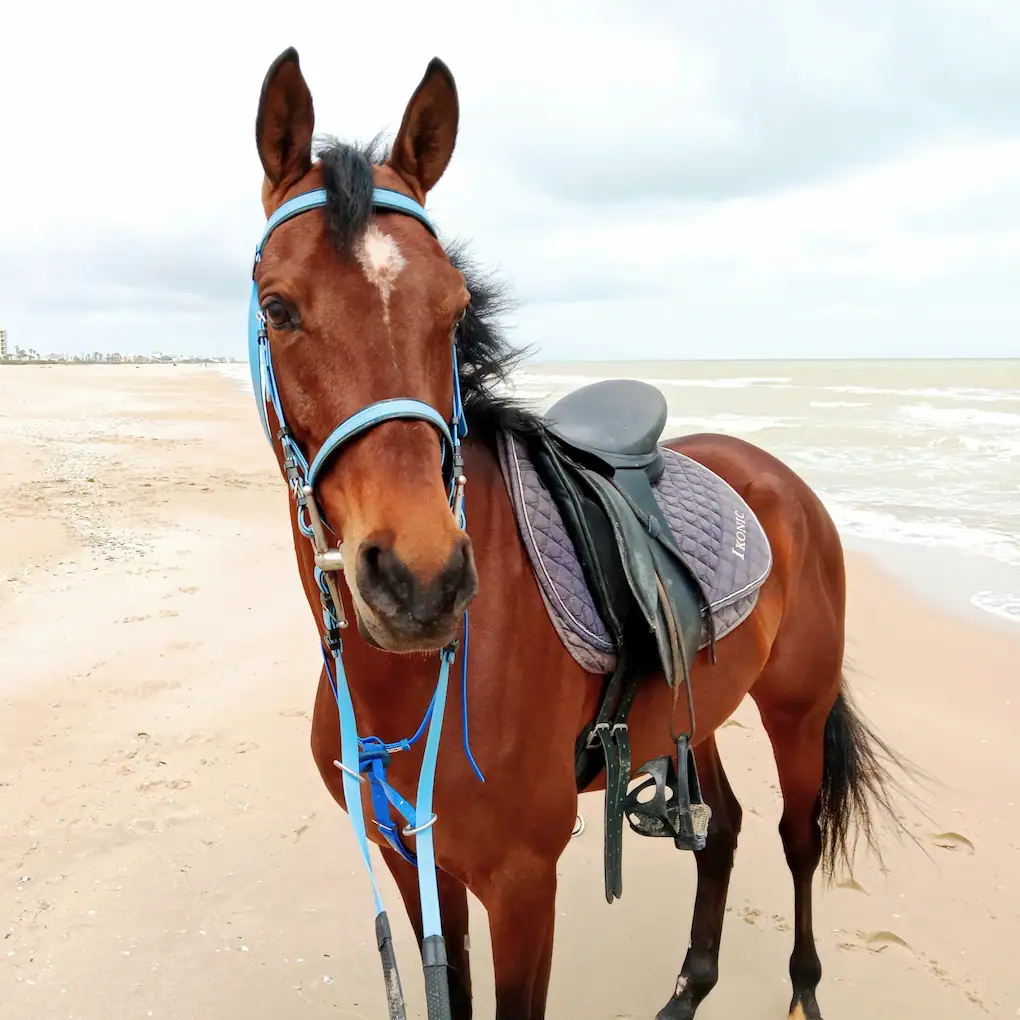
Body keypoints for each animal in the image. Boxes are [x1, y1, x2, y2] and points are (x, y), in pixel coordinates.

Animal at [247, 47, 907, 1020]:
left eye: (456, 310)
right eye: (279, 307)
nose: (420, 579)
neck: (414, 686)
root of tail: (781, 478)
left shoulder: (525, 887)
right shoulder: (419, 869)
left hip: (797, 709)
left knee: (798, 839)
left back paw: (801, 993)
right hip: (695, 709)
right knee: (724, 830)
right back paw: (688, 989)